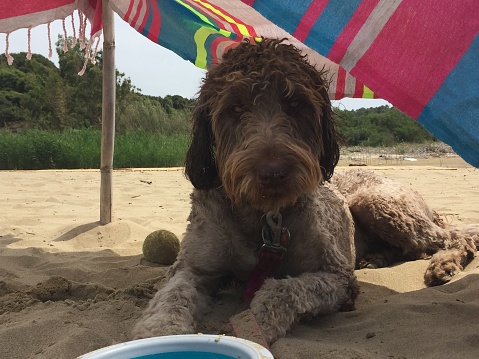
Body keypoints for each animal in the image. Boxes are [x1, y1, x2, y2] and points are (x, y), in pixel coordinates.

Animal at [132, 38, 479, 344]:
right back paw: (379, 258)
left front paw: (256, 324)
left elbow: (282, 290)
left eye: (295, 104)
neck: (263, 218)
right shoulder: (193, 268)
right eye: (235, 107)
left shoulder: (336, 275)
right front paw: (159, 336)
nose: (273, 173)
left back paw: (443, 264)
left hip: (375, 203)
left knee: (454, 237)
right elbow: (170, 299)